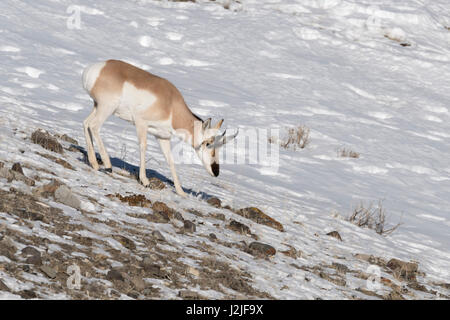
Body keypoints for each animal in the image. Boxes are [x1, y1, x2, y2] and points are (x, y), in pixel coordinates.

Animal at [83, 58, 239, 196]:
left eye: (219, 146)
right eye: (207, 143)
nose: (216, 171)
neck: (171, 106)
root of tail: (95, 69)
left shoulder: (162, 138)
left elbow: (170, 160)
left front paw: (181, 192)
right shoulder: (141, 123)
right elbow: (143, 147)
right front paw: (145, 180)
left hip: (97, 107)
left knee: (86, 123)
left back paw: (94, 163)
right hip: (106, 108)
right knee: (94, 126)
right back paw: (107, 165)